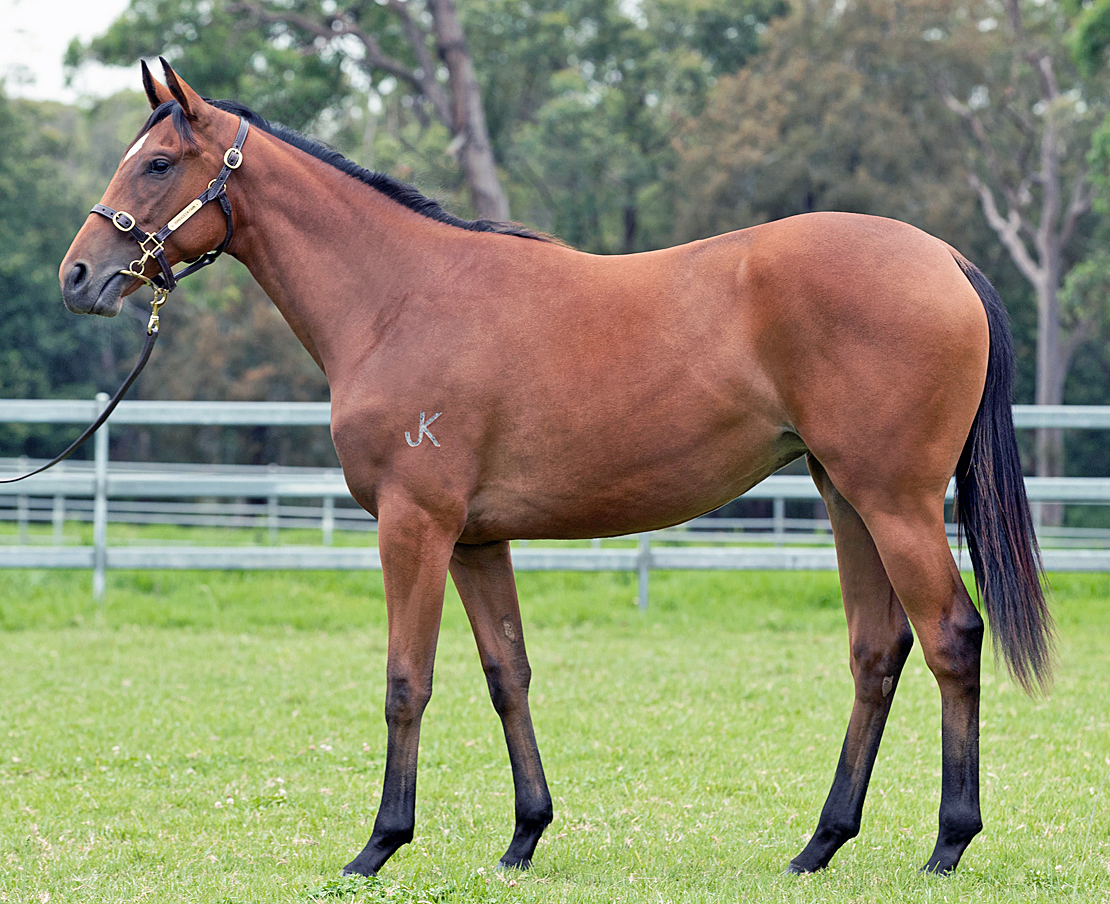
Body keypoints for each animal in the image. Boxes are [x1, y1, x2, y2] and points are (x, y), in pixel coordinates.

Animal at [58, 61, 1047, 879]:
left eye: (157, 165)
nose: (78, 275)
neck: (398, 296)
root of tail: (944, 257)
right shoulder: (474, 539)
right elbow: (508, 674)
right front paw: (525, 835)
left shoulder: (414, 526)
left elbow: (406, 682)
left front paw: (380, 844)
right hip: (847, 498)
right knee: (876, 652)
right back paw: (820, 844)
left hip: (895, 502)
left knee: (953, 636)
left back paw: (949, 842)